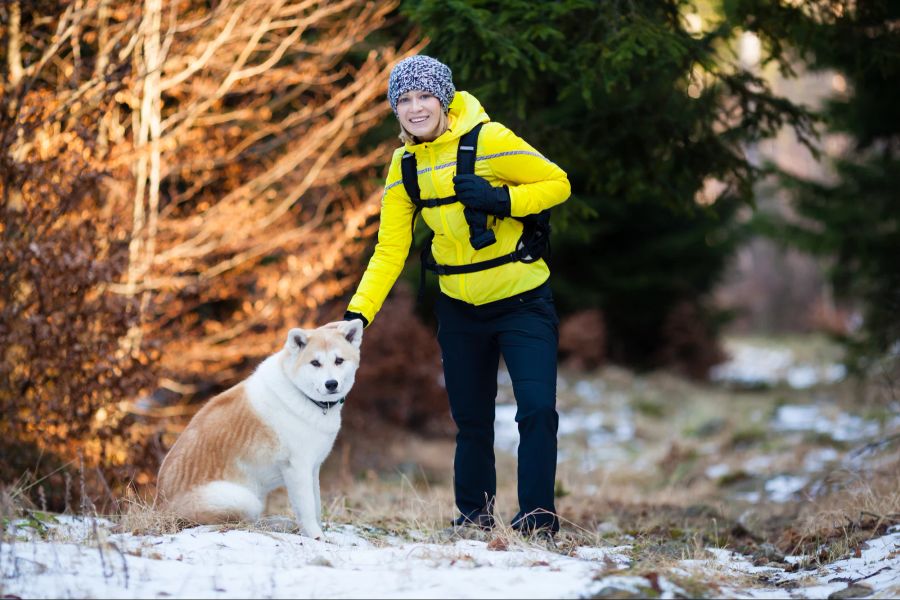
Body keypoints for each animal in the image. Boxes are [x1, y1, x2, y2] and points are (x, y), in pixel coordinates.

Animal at [156, 318, 364, 540]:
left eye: (339, 360)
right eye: (315, 363)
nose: (331, 384)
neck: (300, 393)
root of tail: (160, 506)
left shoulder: (312, 468)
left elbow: (315, 506)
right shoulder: (297, 468)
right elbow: (307, 509)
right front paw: (317, 538)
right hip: (244, 499)